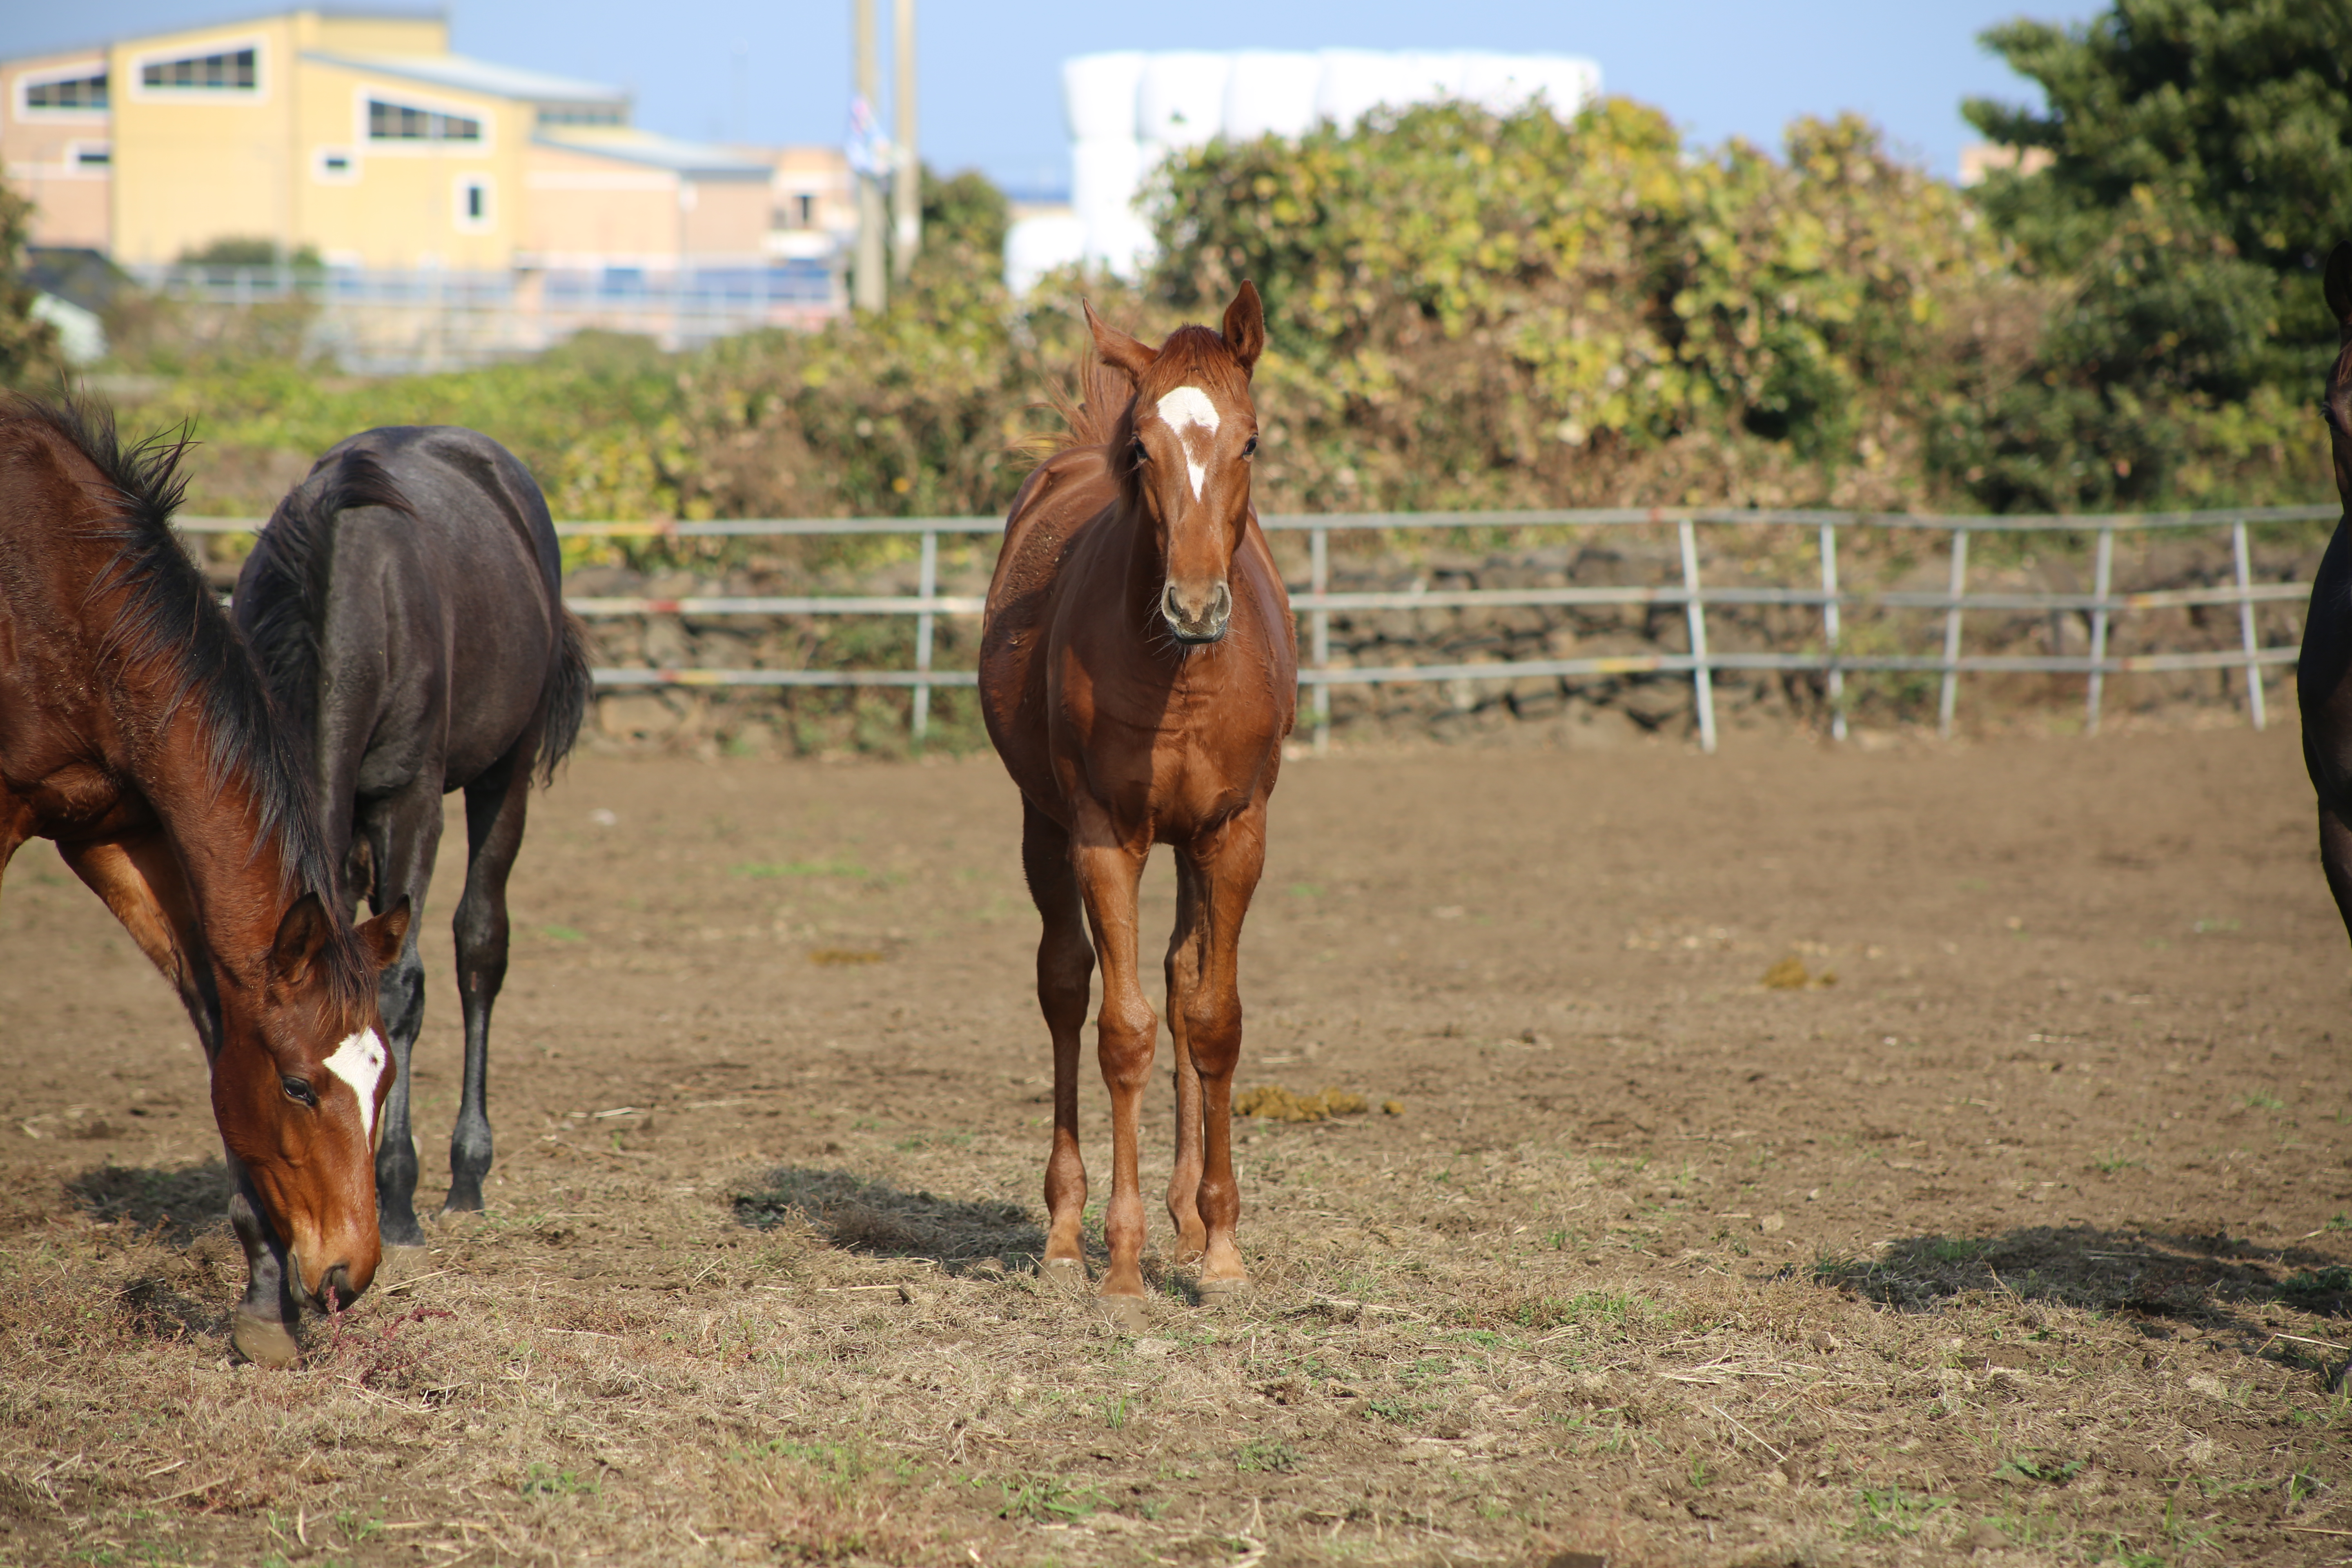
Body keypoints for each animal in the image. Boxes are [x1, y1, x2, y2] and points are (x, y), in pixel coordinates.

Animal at [0, 399, 409, 1363]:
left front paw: (265, 1308)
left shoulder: (123, 834)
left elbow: (218, 1022)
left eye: (383, 1082)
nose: (349, 1272)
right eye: (299, 1087)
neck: (62, 593)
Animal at [234, 423, 592, 1241]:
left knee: (480, 946)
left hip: (504, 774)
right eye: (284, 1078)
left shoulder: (411, 801)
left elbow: (401, 988)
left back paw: (467, 1171)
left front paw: (394, 1192)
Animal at [978, 288, 1298, 1335]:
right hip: (1043, 828)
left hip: (1190, 846)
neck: (1182, 676)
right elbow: (1122, 1030)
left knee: (1181, 975)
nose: (1195, 606)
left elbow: (1212, 1016)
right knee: (1065, 986)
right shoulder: (1102, 835)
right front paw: (1120, 1266)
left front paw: (1221, 1248)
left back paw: (1186, 1222)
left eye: (1249, 439)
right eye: (1143, 449)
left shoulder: (1233, 833)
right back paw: (1063, 1235)